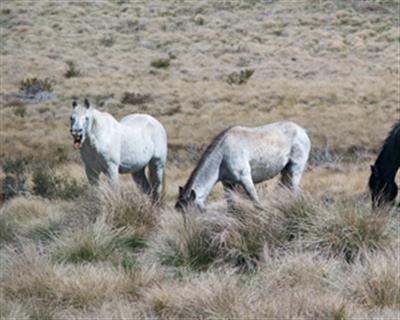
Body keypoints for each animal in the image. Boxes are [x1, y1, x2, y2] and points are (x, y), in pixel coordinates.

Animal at [176, 121, 312, 211]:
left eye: (191, 211)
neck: (223, 155)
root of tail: (302, 131)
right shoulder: (228, 184)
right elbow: (231, 206)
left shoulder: (245, 179)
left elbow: (256, 202)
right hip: (286, 172)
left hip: (295, 171)